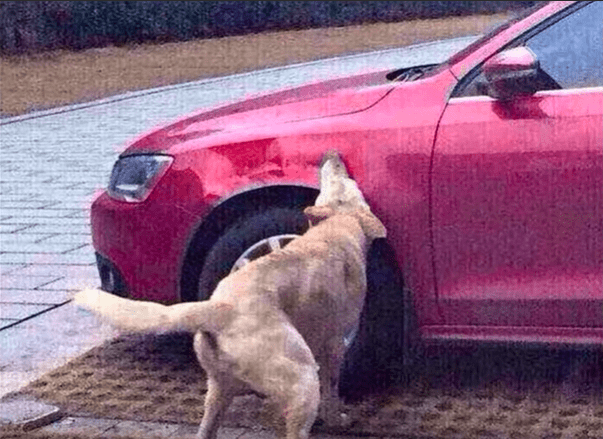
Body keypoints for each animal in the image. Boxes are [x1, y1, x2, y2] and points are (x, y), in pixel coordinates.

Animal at [75, 152, 386, 439]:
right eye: (348, 182)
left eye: (333, 181)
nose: (332, 155)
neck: (336, 228)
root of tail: (220, 308)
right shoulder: (334, 344)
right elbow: (332, 388)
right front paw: (336, 418)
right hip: (302, 379)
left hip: (218, 391)